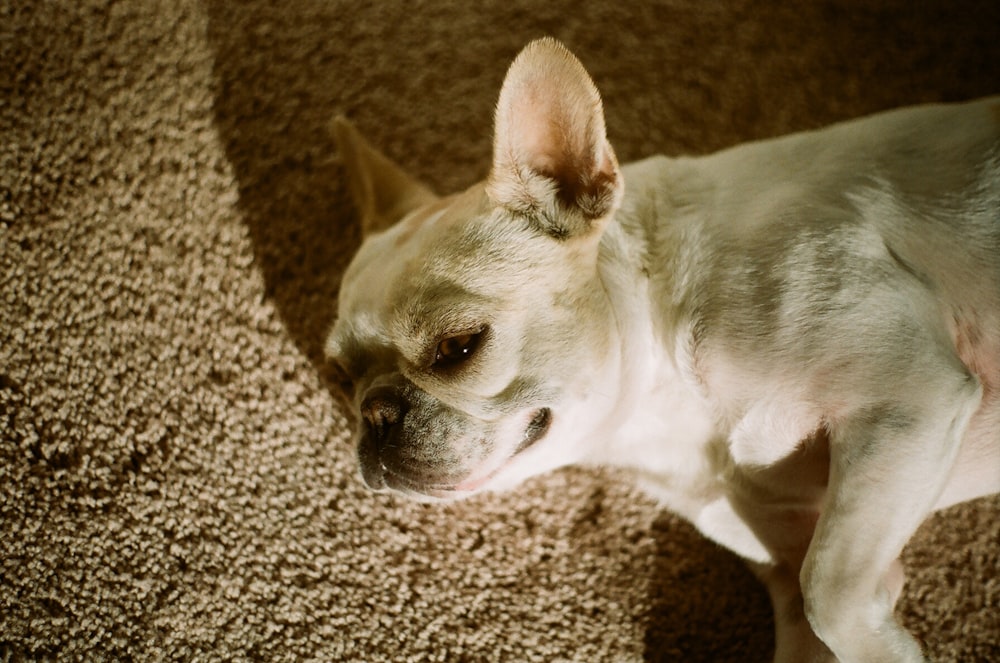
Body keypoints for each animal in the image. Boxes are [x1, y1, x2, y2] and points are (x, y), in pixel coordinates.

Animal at [328, 39, 1000, 660]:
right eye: (338, 377)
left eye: (457, 347)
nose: (376, 412)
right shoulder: (789, 558)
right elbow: (814, 602)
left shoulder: (909, 396)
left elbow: (829, 593)